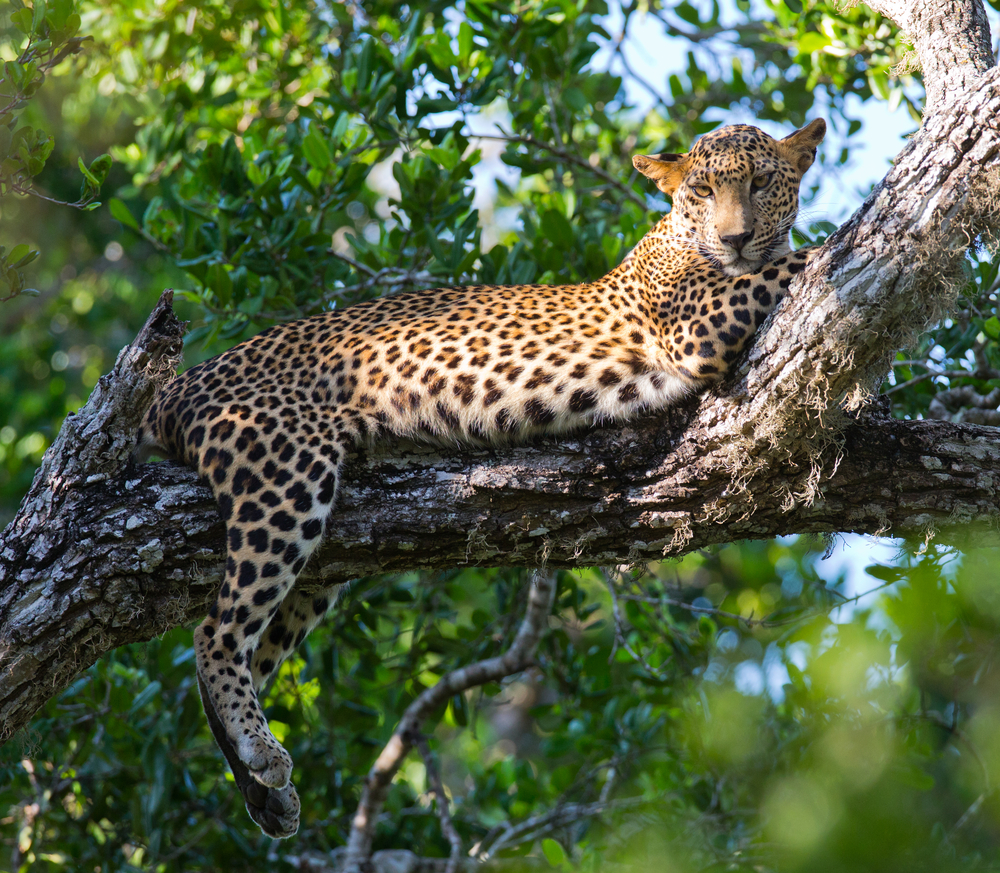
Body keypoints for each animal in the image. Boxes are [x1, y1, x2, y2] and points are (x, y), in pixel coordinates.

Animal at [139, 117, 828, 836]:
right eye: (701, 190)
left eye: (761, 182)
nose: (734, 238)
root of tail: (179, 383)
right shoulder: (700, 320)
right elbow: (795, 261)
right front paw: (828, 242)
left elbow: (785, 257)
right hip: (282, 472)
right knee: (215, 633)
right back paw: (260, 754)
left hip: (319, 557)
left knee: (242, 644)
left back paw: (263, 790)